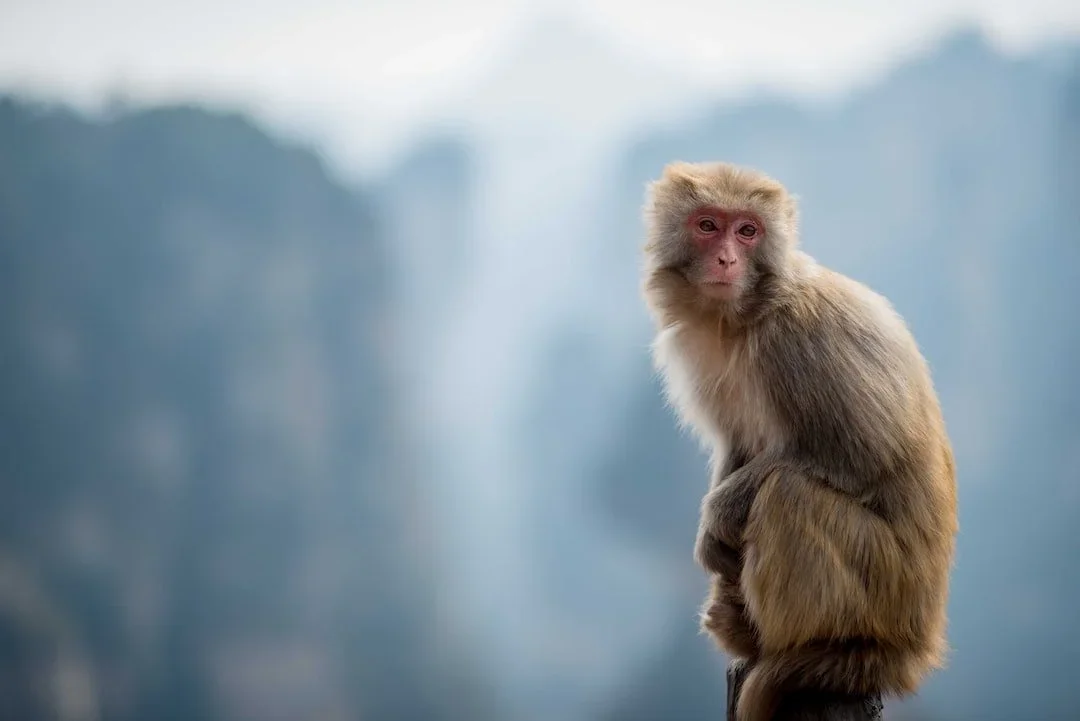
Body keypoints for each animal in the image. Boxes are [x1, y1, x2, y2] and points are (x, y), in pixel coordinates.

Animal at [639, 161, 958, 721]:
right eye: (707, 226)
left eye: (748, 231)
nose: (726, 258)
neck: (746, 315)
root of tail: (916, 646)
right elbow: (737, 445)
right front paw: (712, 541)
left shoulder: (800, 342)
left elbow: (861, 453)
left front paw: (716, 517)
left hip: (886, 585)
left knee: (789, 493)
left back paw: (811, 650)